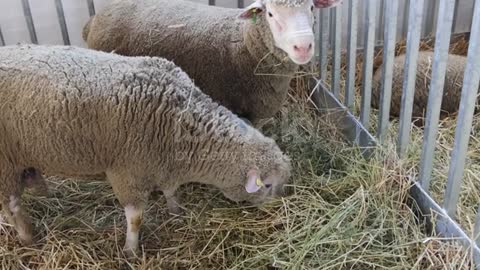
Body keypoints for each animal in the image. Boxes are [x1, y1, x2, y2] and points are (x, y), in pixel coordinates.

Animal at [0, 43, 292, 255]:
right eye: (267, 185)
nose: (277, 208)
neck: (180, 121)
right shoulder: (128, 171)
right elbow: (136, 218)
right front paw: (130, 250)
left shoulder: (164, 164)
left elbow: (171, 191)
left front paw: (176, 212)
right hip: (5, 162)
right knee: (12, 205)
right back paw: (28, 237)